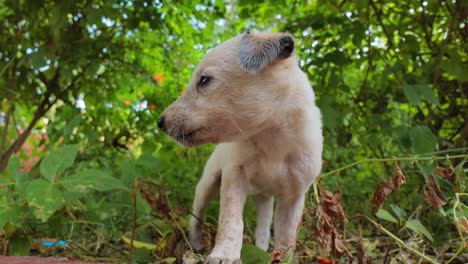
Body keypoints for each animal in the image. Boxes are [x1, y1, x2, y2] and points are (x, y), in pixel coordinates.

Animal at [157, 31, 322, 264]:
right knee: (196, 218)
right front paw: (224, 255)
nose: (160, 122)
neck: (272, 140)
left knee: (263, 229)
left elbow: (286, 237)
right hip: (207, 185)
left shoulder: (294, 195)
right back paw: (196, 244)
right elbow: (231, 220)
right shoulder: (234, 175)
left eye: (204, 80)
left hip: (265, 201)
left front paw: (282, 258)